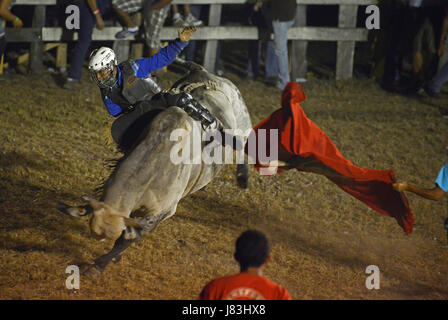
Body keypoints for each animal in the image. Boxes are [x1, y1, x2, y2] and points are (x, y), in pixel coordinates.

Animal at [57, 59, 252, 272]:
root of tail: (205, 72)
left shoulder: (164, 210)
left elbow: (129, 237)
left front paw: (99, 265)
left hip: (242, 116)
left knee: (243, 143)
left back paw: (242, 174)